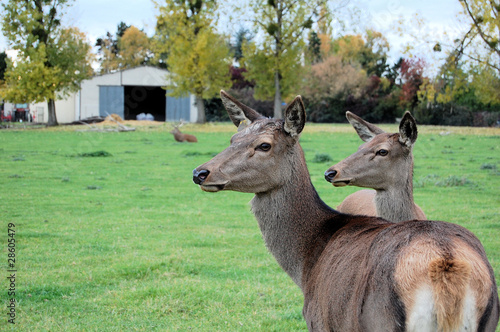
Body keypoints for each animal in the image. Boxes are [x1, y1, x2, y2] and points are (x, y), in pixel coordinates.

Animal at [192, 91, 500, 332]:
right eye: (232, 139)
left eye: (264, 145)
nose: (200, 173)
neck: (306, 264)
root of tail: (446, 269)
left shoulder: (319, 321)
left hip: (379, 320)